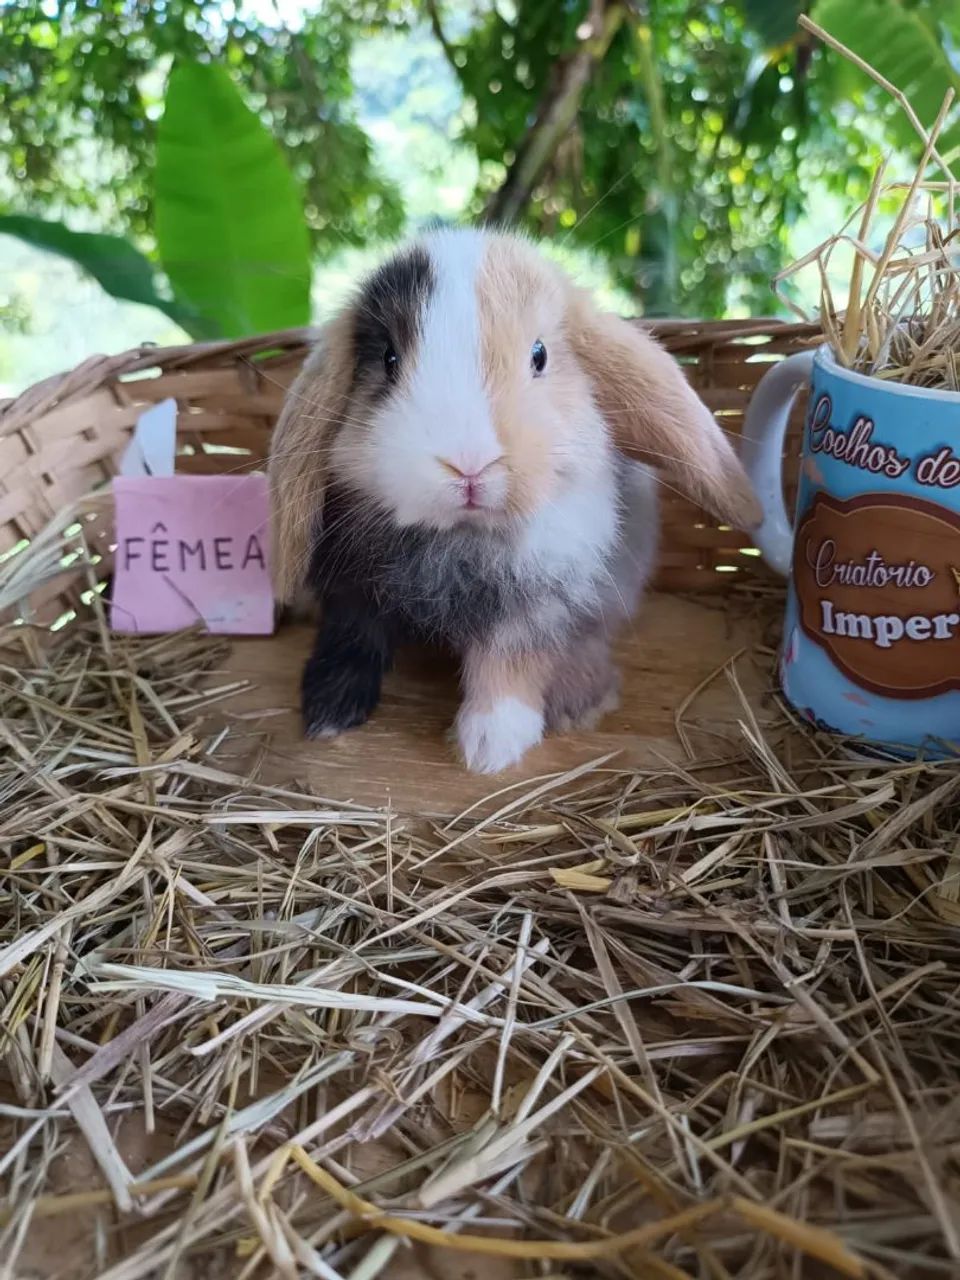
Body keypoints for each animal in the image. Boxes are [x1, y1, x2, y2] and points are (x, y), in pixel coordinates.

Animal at [268, 227, 760, 774]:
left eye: (539, 355)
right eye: (389, 359)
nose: (468, 465)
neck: (462, 538)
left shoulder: (537, 605)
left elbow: (509, 664)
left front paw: (490, 747)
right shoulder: (351, 586)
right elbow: (350, 641)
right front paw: (327, 715)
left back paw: (578, 700)